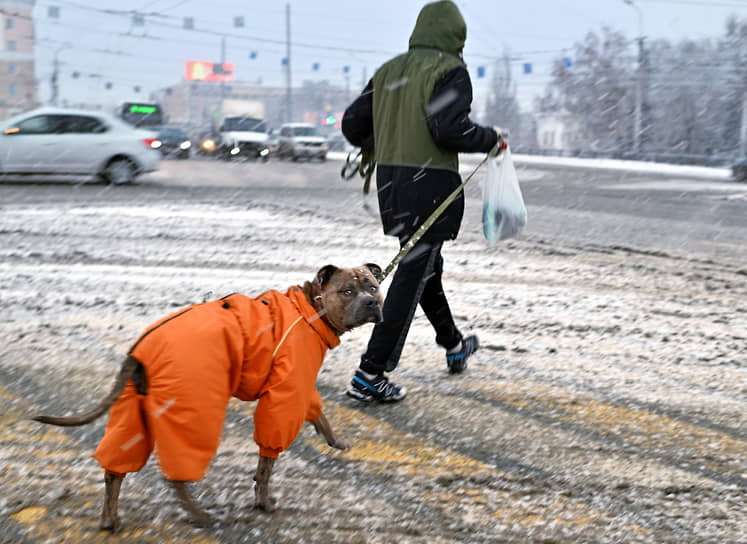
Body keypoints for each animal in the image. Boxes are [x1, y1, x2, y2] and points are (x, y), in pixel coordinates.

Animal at [33, 264, 386, 532]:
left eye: (372, 286)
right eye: (347, 291)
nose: (372, 302)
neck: (309, 308)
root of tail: (140, 349)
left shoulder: (299, 387)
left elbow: (318, 414)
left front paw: (335, 441)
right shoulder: (285, 394)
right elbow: (267, 461)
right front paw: (263, 501)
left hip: (133, 412)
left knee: (114, 469)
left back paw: (110, 520)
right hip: (195, 408)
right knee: (176, 473)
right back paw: (199, 515)